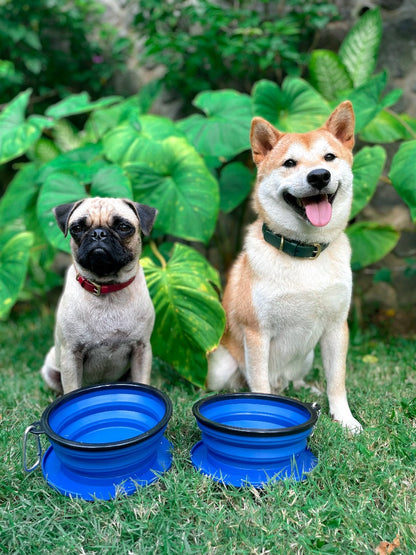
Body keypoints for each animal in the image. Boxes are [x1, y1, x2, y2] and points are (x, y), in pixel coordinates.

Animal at [206, 103, 362, 434]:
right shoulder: (257, 333)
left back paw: (307, 389)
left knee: (294, 380)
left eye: (329, 157)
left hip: (308, 356)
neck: (304, 253)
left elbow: (337, 381)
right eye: (289, 163)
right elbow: (259, 385)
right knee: (246, 382)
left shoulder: (336, 327)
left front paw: (345, 419)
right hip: (220, 366)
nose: (319, 176)